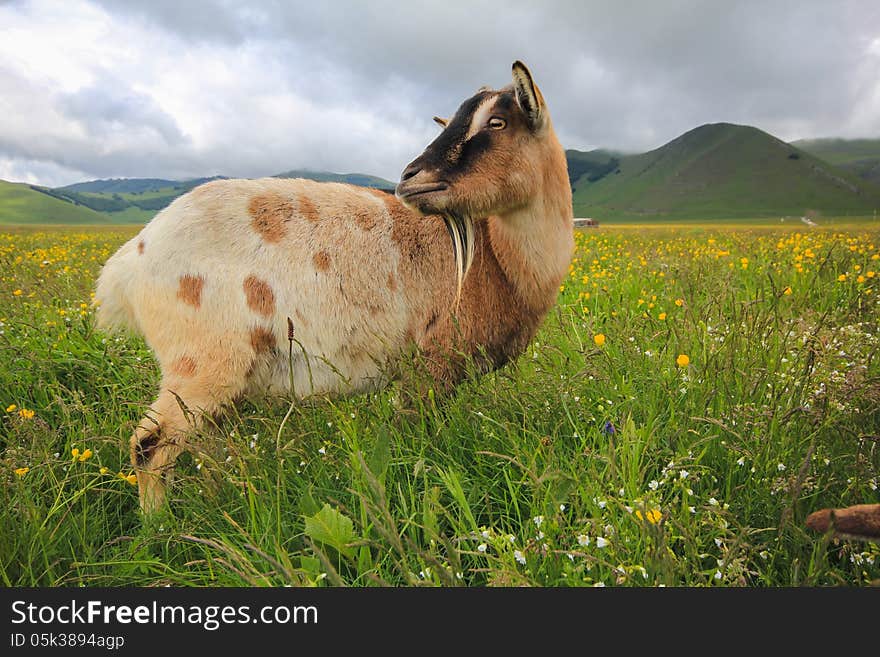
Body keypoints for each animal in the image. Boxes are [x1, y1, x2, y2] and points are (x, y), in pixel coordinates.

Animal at [93, 61, 576, 512]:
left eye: (497, 122)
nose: (411, 178)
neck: (495, 259)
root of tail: (133, 258)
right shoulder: (430, 366)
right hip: (201, 367)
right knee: (149, 446)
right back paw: (159, 527)